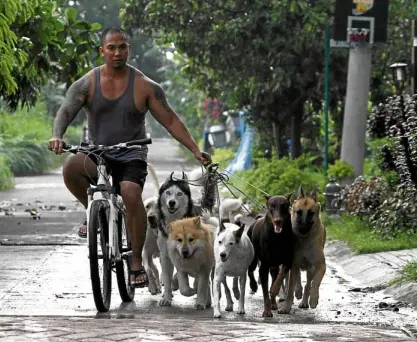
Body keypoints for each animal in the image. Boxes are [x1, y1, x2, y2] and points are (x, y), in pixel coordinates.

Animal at [272, 186, 326, 314]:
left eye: (311, 213)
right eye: (299, 212)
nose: (302, 229)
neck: (305, 241)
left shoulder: (321, 265)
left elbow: (315, 283)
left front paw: (313, 299)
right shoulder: (294, 263)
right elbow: (290, 288)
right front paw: (286, 307)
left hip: (311, 268)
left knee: (308, 283)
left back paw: (305, 300)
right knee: (295, 279)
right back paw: (297, 292)